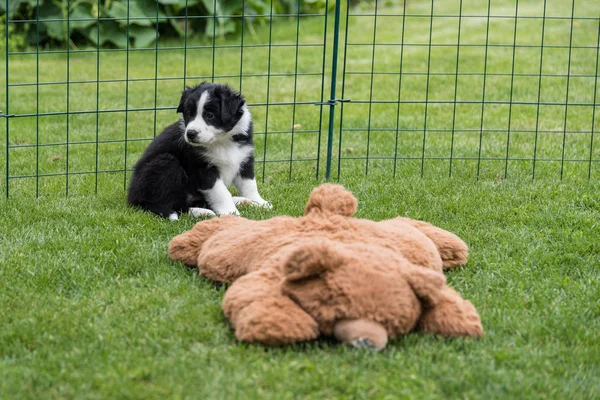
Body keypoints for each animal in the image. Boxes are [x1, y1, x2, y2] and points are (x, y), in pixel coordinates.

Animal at [127, 81, 270, 219]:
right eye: (189, 114)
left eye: (210, 115)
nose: (190, 134)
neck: (222, 141)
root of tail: (133, 199)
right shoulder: (202, 168)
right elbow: (220, 192)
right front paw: (230, 212)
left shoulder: (244, 158)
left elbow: (249, 184)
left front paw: (260, 202)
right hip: (165, 163)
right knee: (177, 205)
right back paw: (202, 212)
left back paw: (241, 201)